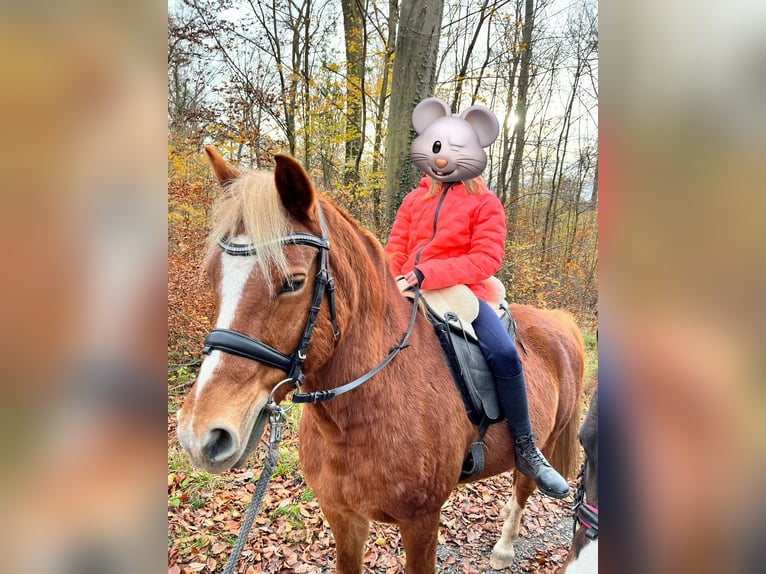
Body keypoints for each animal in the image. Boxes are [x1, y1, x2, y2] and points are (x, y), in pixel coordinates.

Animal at [178, 151, 588, 572]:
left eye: (293, 282)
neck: (360, 414)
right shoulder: (343, 516)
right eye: (213, 277)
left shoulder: (421, 523)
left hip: (545, 437)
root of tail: (560, 320)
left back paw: (505, 545)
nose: (199, 436)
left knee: (524, 483)